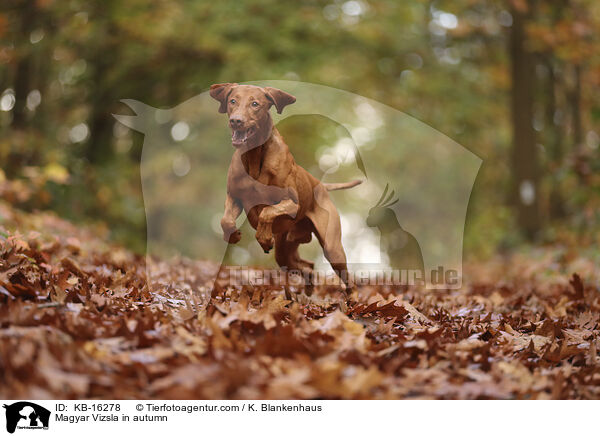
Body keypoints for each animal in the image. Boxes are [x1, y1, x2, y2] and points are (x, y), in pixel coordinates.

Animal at [211, 82, 360, 292]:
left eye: (255, 104)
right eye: (233, 101)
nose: (236, 121)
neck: (254, 155)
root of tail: (320, 185)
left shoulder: (292, 203)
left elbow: (266, 212)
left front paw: (264, 238)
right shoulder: (234, 197)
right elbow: (225, 220)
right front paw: (232, 235)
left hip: (332, 248)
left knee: (348, 280)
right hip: (285, 249)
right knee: (307, 266)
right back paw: (307, 289)